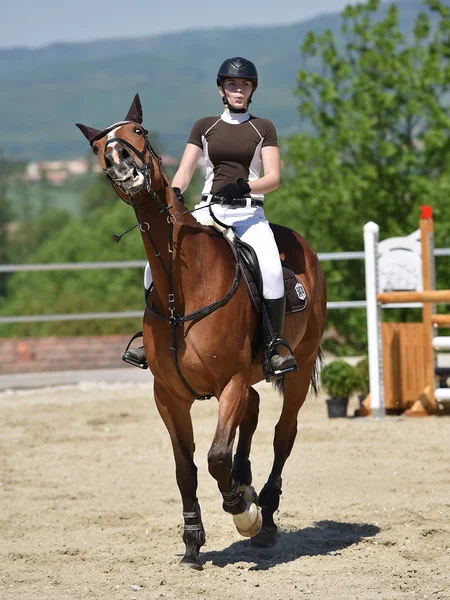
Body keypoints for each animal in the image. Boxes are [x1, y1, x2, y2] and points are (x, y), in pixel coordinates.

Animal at [75, 95, 326, 572]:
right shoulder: (169, 396)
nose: (121, 163)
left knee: (282, 435)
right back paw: (246, 483)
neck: (182, 291)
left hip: (297, 370)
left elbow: (214, 457)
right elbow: (185, 468)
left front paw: (243, 514)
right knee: (254, 411)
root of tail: (304, 245)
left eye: (140, 133)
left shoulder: (229, 382)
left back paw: (265, 517)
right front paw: (193, 542)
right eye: (99, 148)